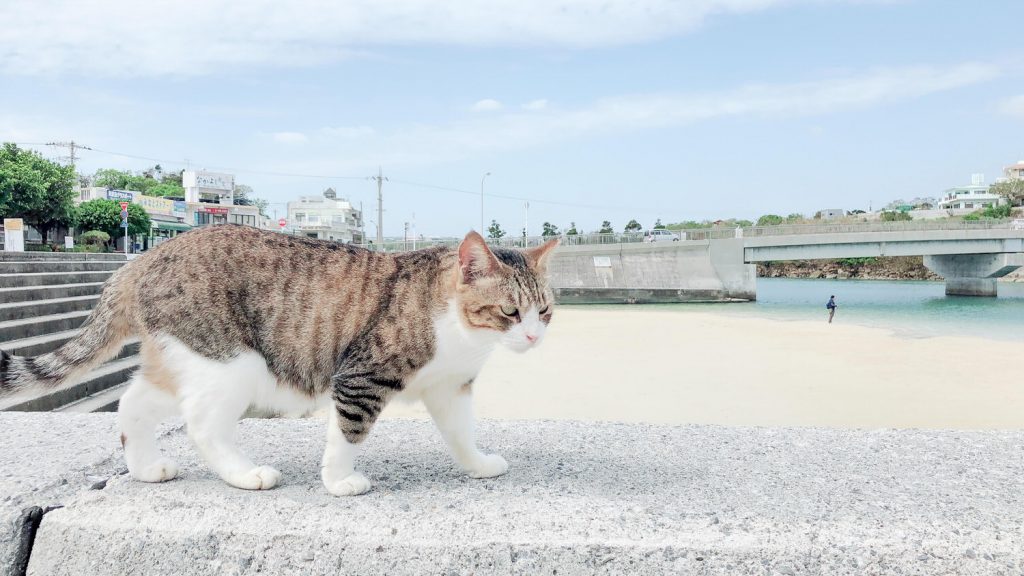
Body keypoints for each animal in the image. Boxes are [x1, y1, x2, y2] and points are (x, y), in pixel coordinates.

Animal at [0, 224, 557, 494]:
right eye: (510, 311)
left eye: (546, 311)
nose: (532, 337)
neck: (460, 333)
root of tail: (140, 259)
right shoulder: (361, 376)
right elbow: (348, 432)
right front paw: (338, 481)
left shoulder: (448, 386)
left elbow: (461, 431)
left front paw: (478, 464)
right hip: (230, 361)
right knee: (202, 424)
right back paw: (244, 474)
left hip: (183, 357)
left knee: (133, 403)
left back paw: (145, 468)